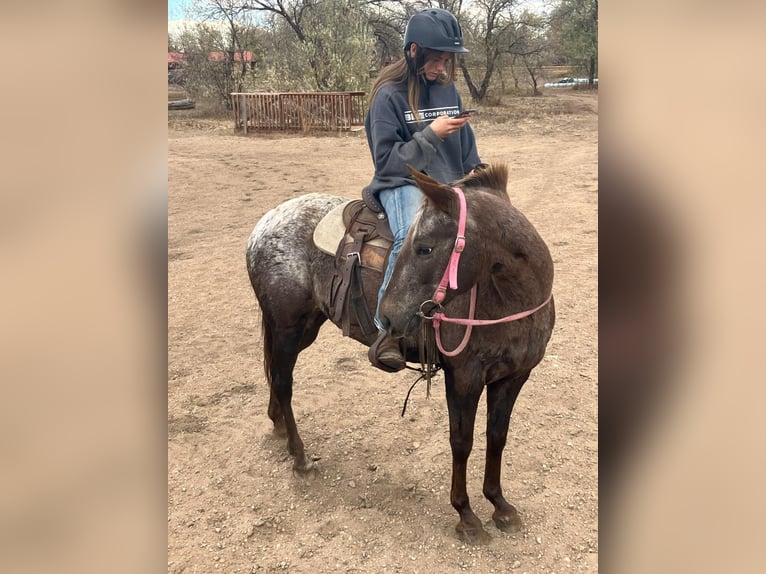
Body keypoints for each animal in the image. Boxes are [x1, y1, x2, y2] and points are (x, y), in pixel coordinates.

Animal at [245, 163, 555, 544]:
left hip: (304, 326)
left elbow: (497, 437)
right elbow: (462, 441)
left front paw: (500, 505)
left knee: (275, 374)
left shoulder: (514, 376)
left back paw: (278, 426)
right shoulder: (464, 378)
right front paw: (466, 516)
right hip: (288, 327)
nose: (390, 317)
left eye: (424, 248)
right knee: (282, 381)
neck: (505, 301)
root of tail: (265, 224)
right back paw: (300, 457)